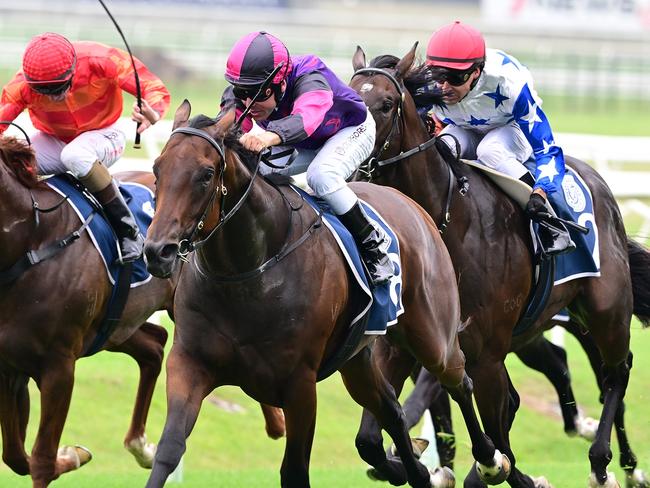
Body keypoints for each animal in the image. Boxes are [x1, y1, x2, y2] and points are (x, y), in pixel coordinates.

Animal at [0, 136, 176, 488]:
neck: (31, 243)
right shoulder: (9, 365)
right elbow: (14, 455)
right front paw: (72, 454)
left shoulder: (58, 367)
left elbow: (41, 460)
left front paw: (67, 455)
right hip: (116, 327)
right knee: (154, 346)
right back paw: (142, 446)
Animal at [142, 102, 512, 488]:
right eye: (157, 169)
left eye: (206, 174)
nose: (158, 251)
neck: (249, 271)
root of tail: (413, 205)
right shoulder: (189, 362)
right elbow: (169, 449)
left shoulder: (300, 385)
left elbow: (294, 471)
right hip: (358, 359)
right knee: (392, 411)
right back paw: (420, 473)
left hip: (432, 336)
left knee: (460, 381)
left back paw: (490, 462)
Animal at [346, 45, 648, 488]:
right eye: (348, 100)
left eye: (385, 104)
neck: (445, 222)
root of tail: (597, 182)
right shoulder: (403, 345)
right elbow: (371, 438)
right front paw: (419, 465)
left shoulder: (484, 352)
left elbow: (491, 437)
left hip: (605, 311)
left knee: (616, 373)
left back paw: (607, 463)